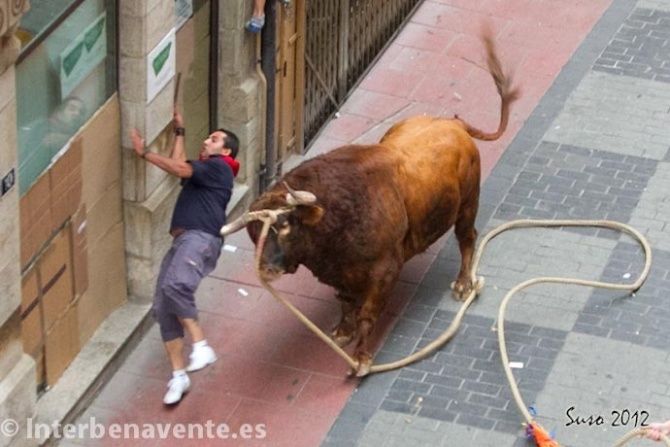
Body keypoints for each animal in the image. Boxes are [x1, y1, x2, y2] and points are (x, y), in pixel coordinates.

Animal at [221, 29, 519, 376]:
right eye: (253, 233)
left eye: (284, 225)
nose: (266, 269)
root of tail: (454, 124)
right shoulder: (337, 274)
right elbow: (345, 302)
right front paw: (342, 332)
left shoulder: (384, 271)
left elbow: (367, 313)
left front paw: (361, 359)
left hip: (468, 204)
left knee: (467, 238)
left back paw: (462, 284)